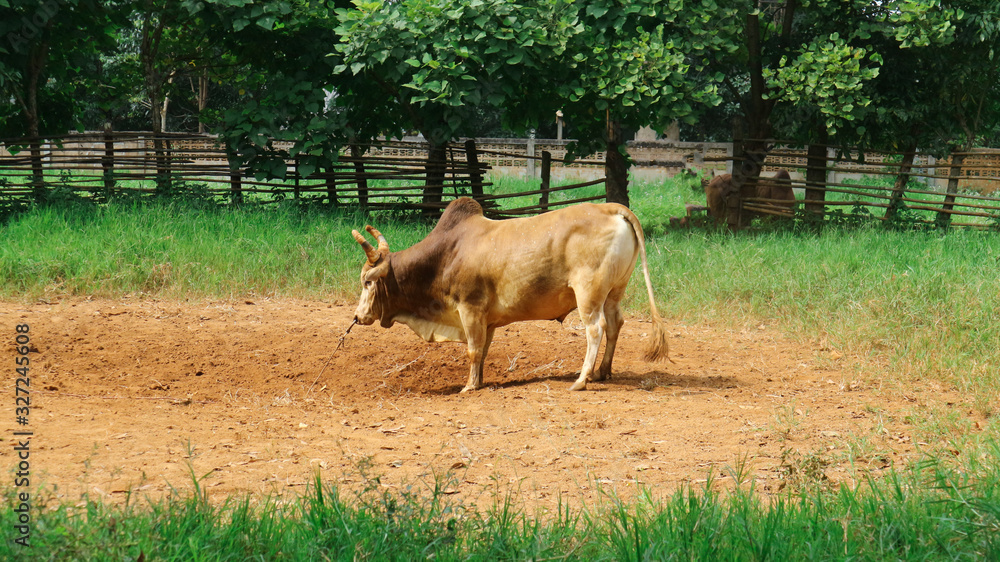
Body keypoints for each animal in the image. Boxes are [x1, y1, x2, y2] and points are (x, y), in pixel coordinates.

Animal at [351, 197, 670, 392]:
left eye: (367, 281)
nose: (357, 316)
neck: (445, 255)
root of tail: (611, 208)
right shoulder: (487, 320)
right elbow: (482, 351)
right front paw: (478, 381)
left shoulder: (470, 308)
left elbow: (472, 349)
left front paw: (469, 386)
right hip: (614, 291)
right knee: (615, 324)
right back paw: (603, 371)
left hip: (588, 295)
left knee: (596, 329)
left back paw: (582, 379)